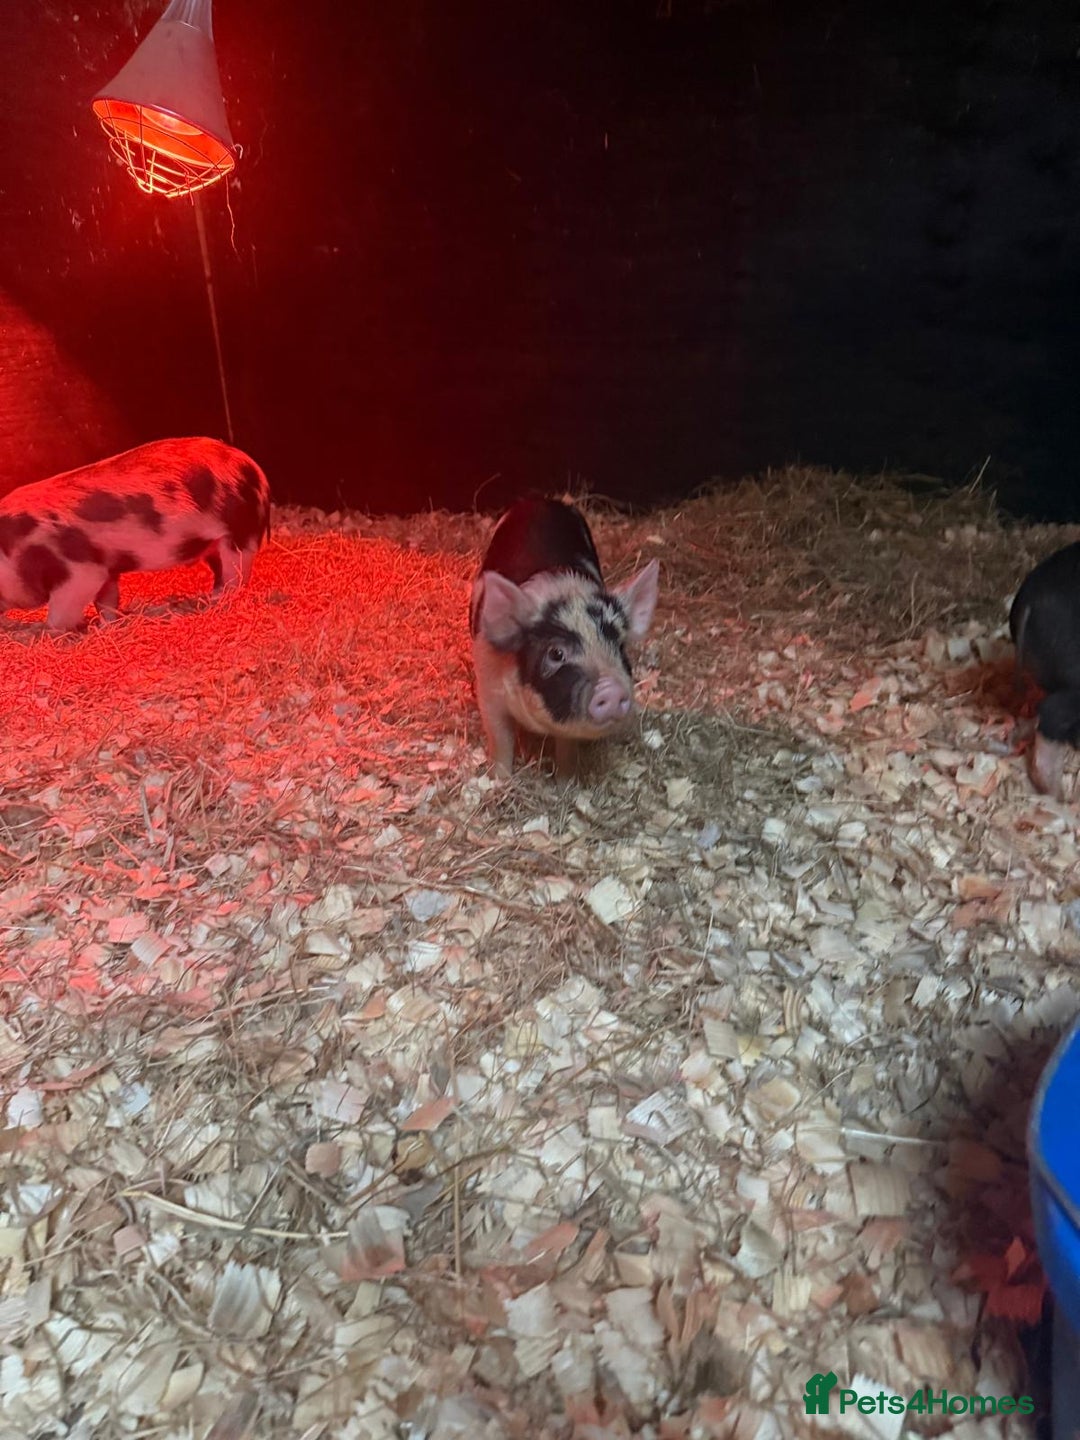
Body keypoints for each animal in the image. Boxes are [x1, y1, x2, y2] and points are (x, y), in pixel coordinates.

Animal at [0, 437, 270, 633]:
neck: (18, 549)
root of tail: (255, 470)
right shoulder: (106, 569)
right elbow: (106, 601)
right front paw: (107, 627)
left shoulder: (80, 569)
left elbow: (60, 612)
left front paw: (53, 633)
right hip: (213, 545)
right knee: (219, 570)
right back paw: (211, 598)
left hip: (239, 535)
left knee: (236, 575)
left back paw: (221, 603)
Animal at [469, 497, 660, 780]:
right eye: (556, 653)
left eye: (619, 645)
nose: (612, 689)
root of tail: (541, 500)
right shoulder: (488, 688)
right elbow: (500, 739)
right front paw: (499, 780)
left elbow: (567, 747)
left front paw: (566, 780)